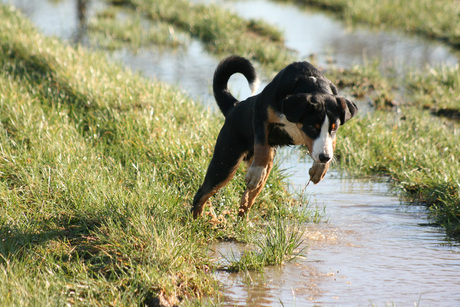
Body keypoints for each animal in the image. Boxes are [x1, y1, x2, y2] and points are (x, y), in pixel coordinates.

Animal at [190, 55, 356, 219]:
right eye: (311, 127)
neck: (311, 80)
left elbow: (330, 143)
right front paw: (257, 172)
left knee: (247, 199)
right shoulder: (260, 112)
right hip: (225, 161)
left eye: (334, 128)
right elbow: (262, 145)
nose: (325, 158)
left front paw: (319, 169)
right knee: (202, 194)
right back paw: (196, 220)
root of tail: (234, 106)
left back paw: (242, 222)